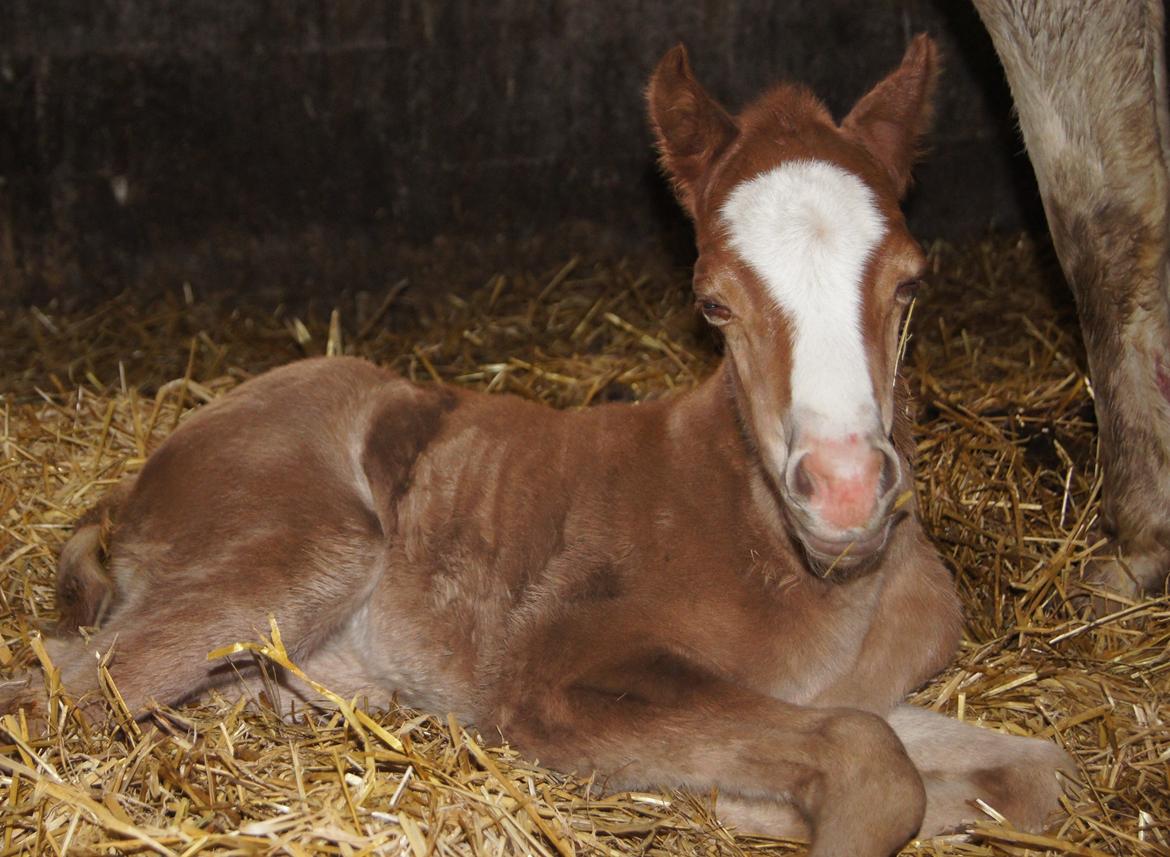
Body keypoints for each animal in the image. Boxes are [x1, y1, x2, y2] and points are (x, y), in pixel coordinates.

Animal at [1, 35, 1072, 857]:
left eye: (912, 282)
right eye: (712, 302)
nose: (844, 488)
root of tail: (135, 484)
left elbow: (1032, 770)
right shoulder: (556, 676)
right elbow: (866, 760)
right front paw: (741, 799)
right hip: (305, 550)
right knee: (53, 688)